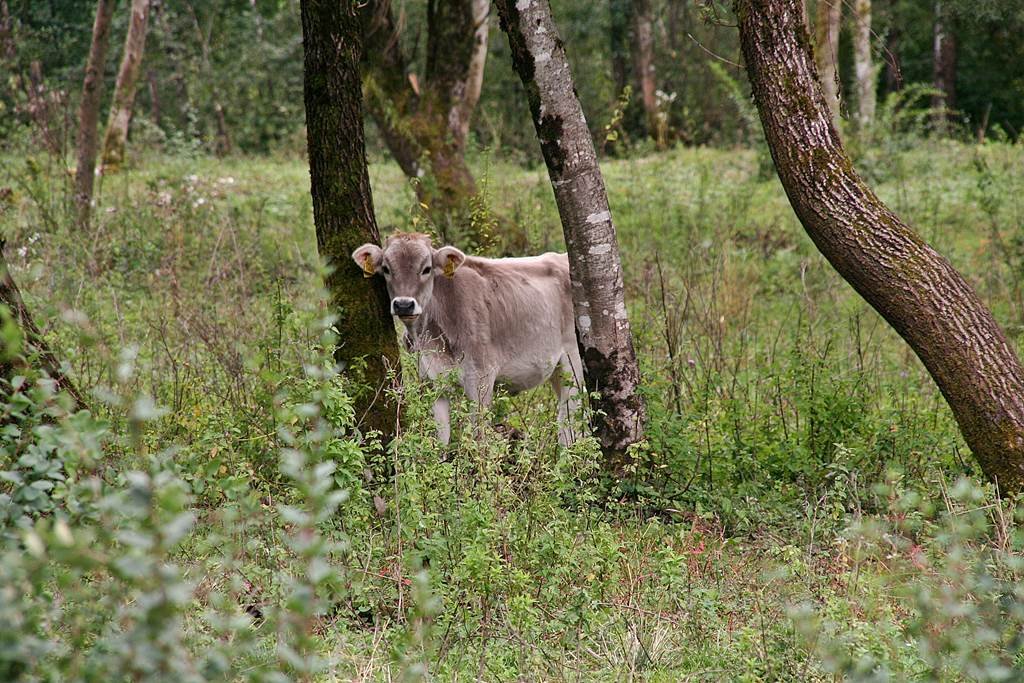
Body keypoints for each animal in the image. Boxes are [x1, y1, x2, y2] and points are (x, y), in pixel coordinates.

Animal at [352, 232, 581, 446]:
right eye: (386, 269)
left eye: (426, 269)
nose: (404, 305)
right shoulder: (431, 382)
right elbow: (442, 439)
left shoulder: (481, 377)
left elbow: (478, 438)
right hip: (557, 371)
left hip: (573, 364)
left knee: (569, 421)